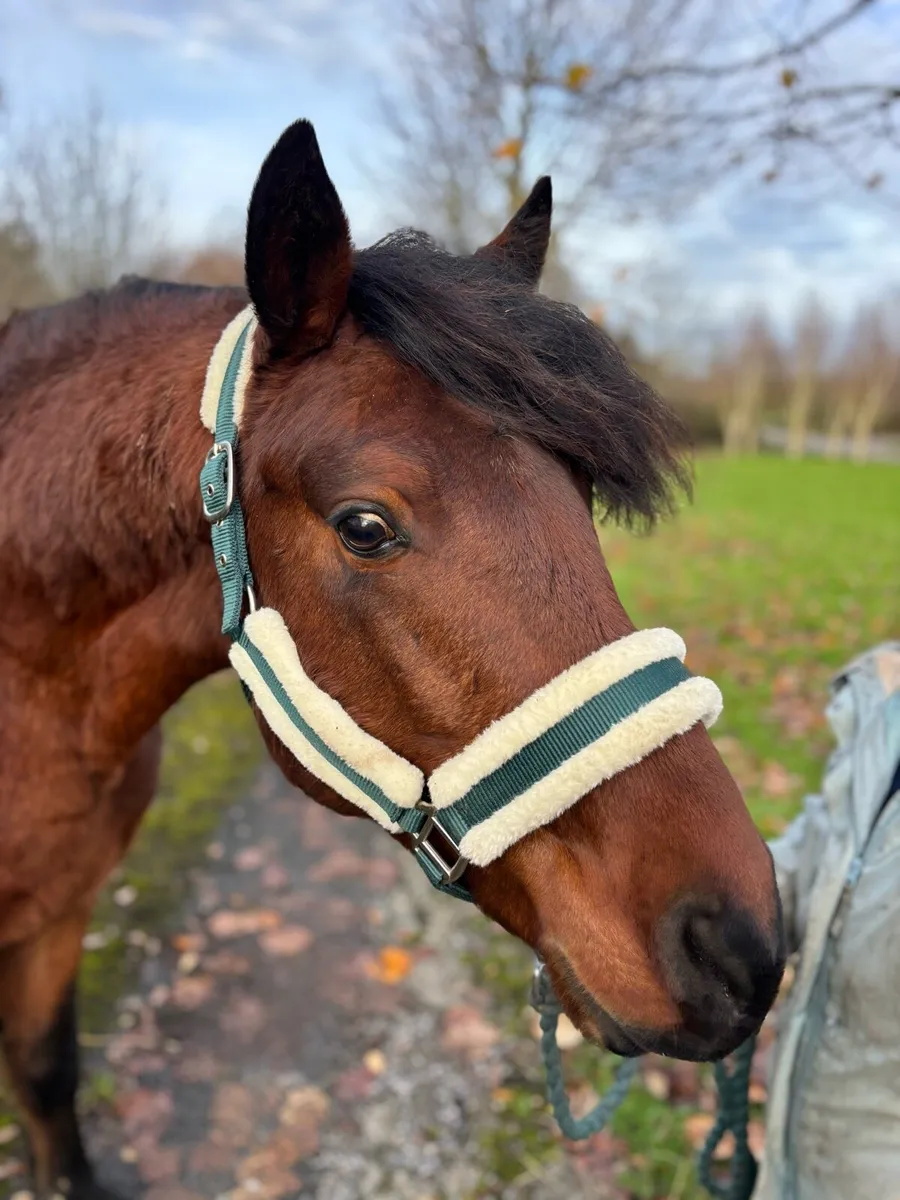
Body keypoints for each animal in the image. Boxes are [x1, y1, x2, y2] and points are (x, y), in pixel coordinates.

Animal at [0, 119, 785, 1199]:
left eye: (579, 490)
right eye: (365, 526)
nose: (738, 949)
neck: (39, 701)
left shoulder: (60, 914)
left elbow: (47, 1075)